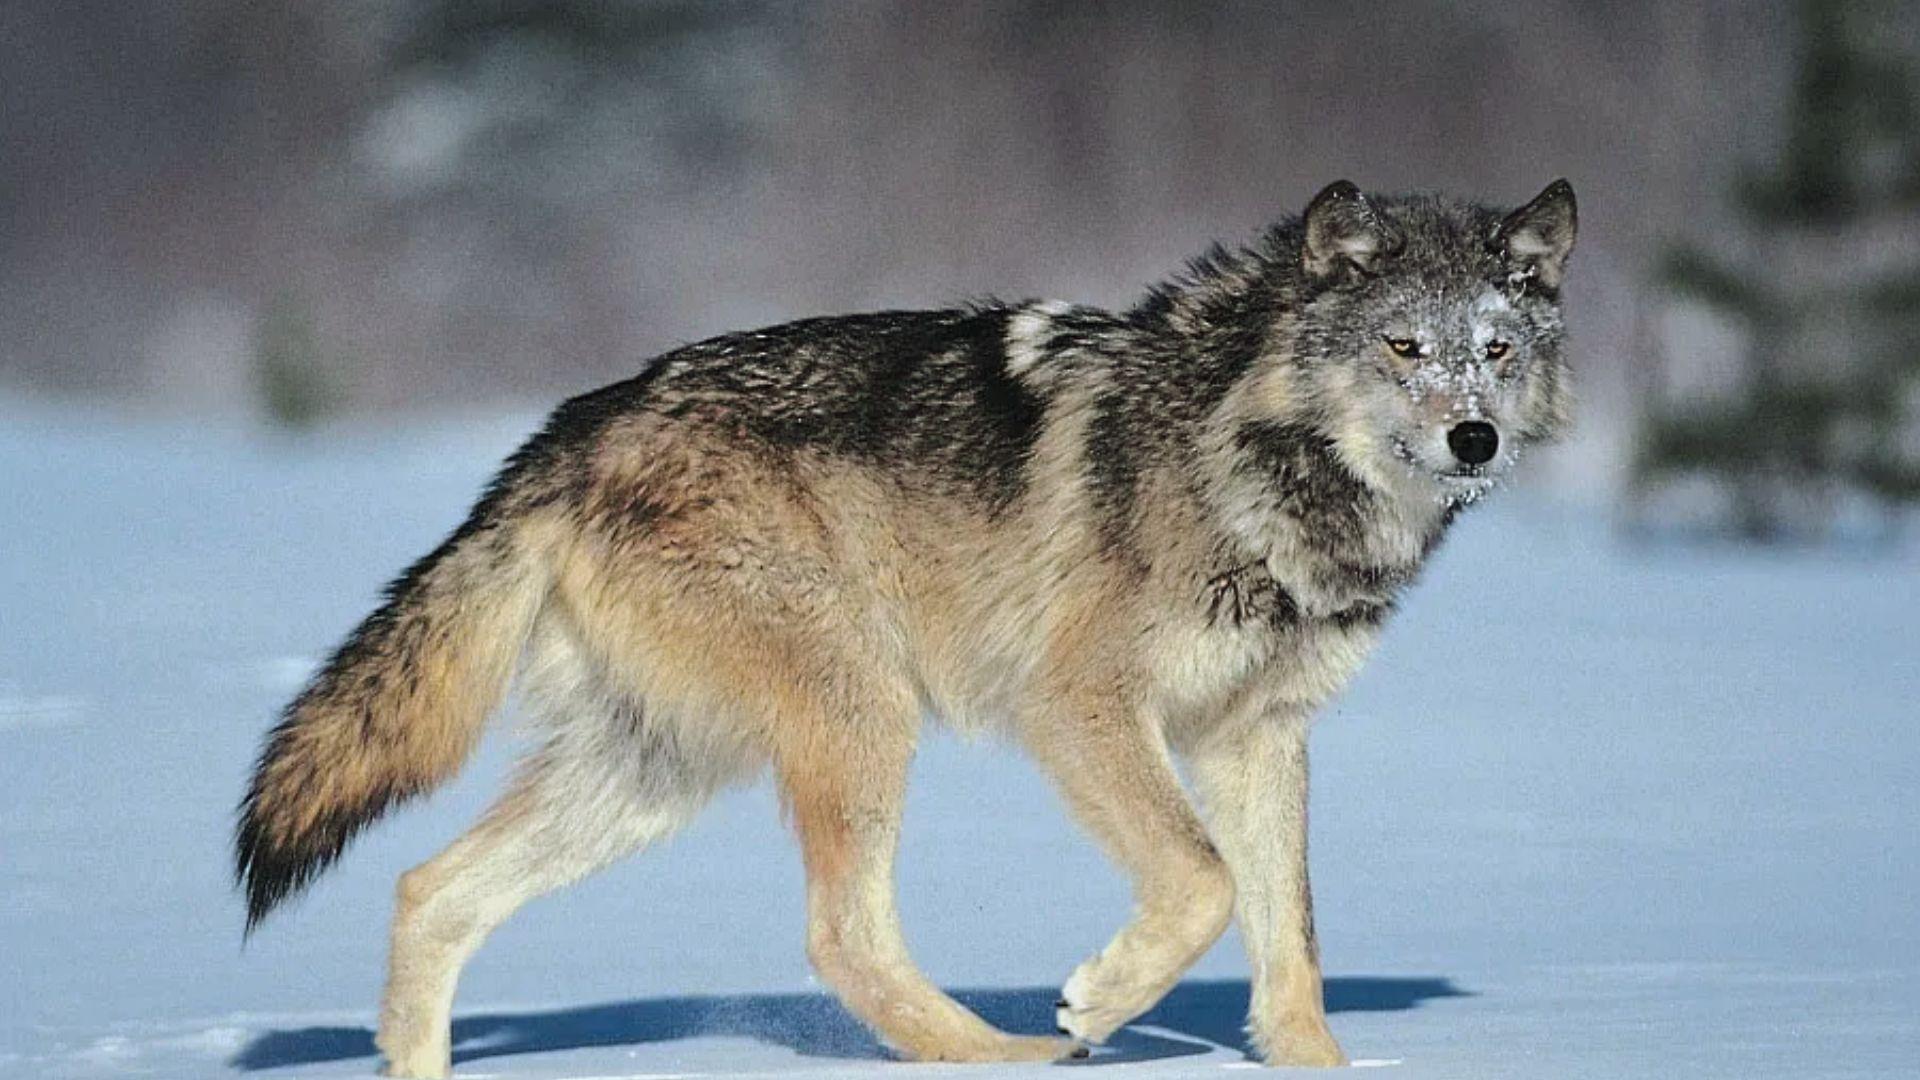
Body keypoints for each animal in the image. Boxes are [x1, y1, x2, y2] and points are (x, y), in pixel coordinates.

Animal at [236, 179, 1576, 1075]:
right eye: (1403, 348)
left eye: (1494, 351)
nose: (1474, 439)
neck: (1255, 467)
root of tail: (573, 427)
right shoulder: (1081, 706)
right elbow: (1201, 884)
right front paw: (1097, 1004)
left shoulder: (1260, 732)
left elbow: (1286, 930)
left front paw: (1318, 1066)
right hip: (859, 712)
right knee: (840, 937)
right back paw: (1006, 1054)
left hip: (656, 775)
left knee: (427, 889)